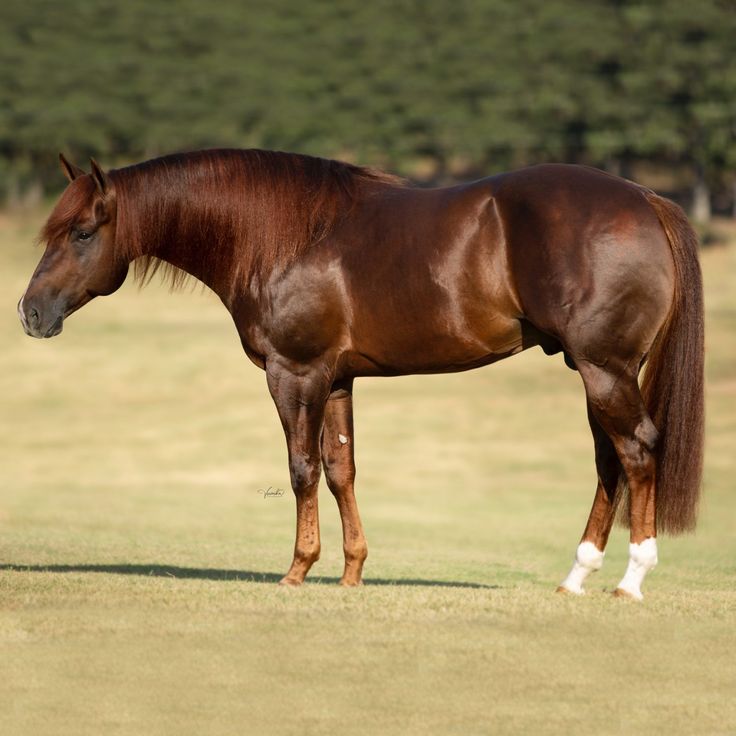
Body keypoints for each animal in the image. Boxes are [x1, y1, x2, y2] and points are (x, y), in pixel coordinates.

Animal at [20, 148, 704, 600]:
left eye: (82, 232)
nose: (30, 312)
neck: (283, 236)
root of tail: (645, 199)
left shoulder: (293, 374)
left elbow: (301, 469)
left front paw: (297, 570)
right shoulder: (338, 379)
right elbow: (341, 469)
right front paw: (351, 572)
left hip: (604, 370)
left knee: (637, 451)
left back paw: (632, 580)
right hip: (599, 372)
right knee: (610, 461)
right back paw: (575, 577)